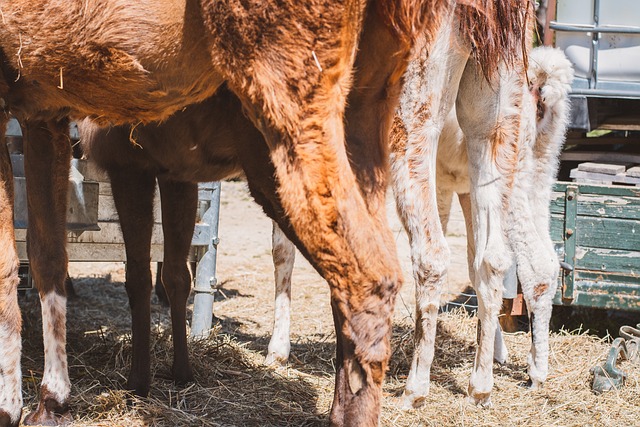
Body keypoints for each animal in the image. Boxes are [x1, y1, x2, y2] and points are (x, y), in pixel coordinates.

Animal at [0, 0, 448, 427]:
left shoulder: (129, 166)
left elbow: (132, 275)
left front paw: (134, 382)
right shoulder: (165, 169)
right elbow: (152, 272)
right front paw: (174, 373)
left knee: (368, 275)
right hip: (360, 116)